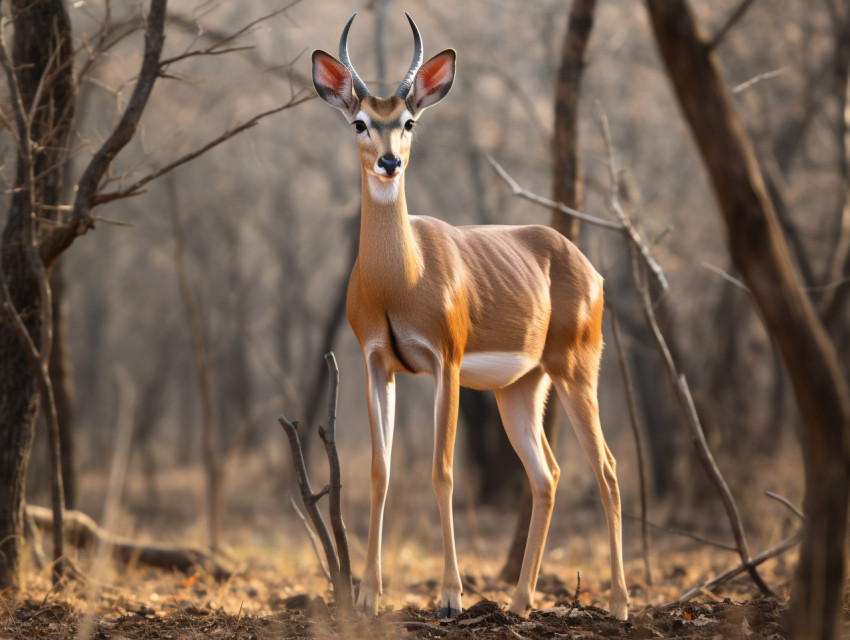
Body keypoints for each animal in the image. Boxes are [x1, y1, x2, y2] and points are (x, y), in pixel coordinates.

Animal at [312, 11, 628, 620]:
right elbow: (381, 471)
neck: (398, 280)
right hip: (520, 388)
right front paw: (368, 596)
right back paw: (520, 603)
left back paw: (622, 605)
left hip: (577, 371)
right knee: (548, 475)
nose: (390, 162)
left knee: (606, 468)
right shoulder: (376, 364)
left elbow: (443, 471)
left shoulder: (447, 363)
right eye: (361, 122)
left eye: (409, 121)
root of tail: (587, 266)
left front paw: (451, 596)